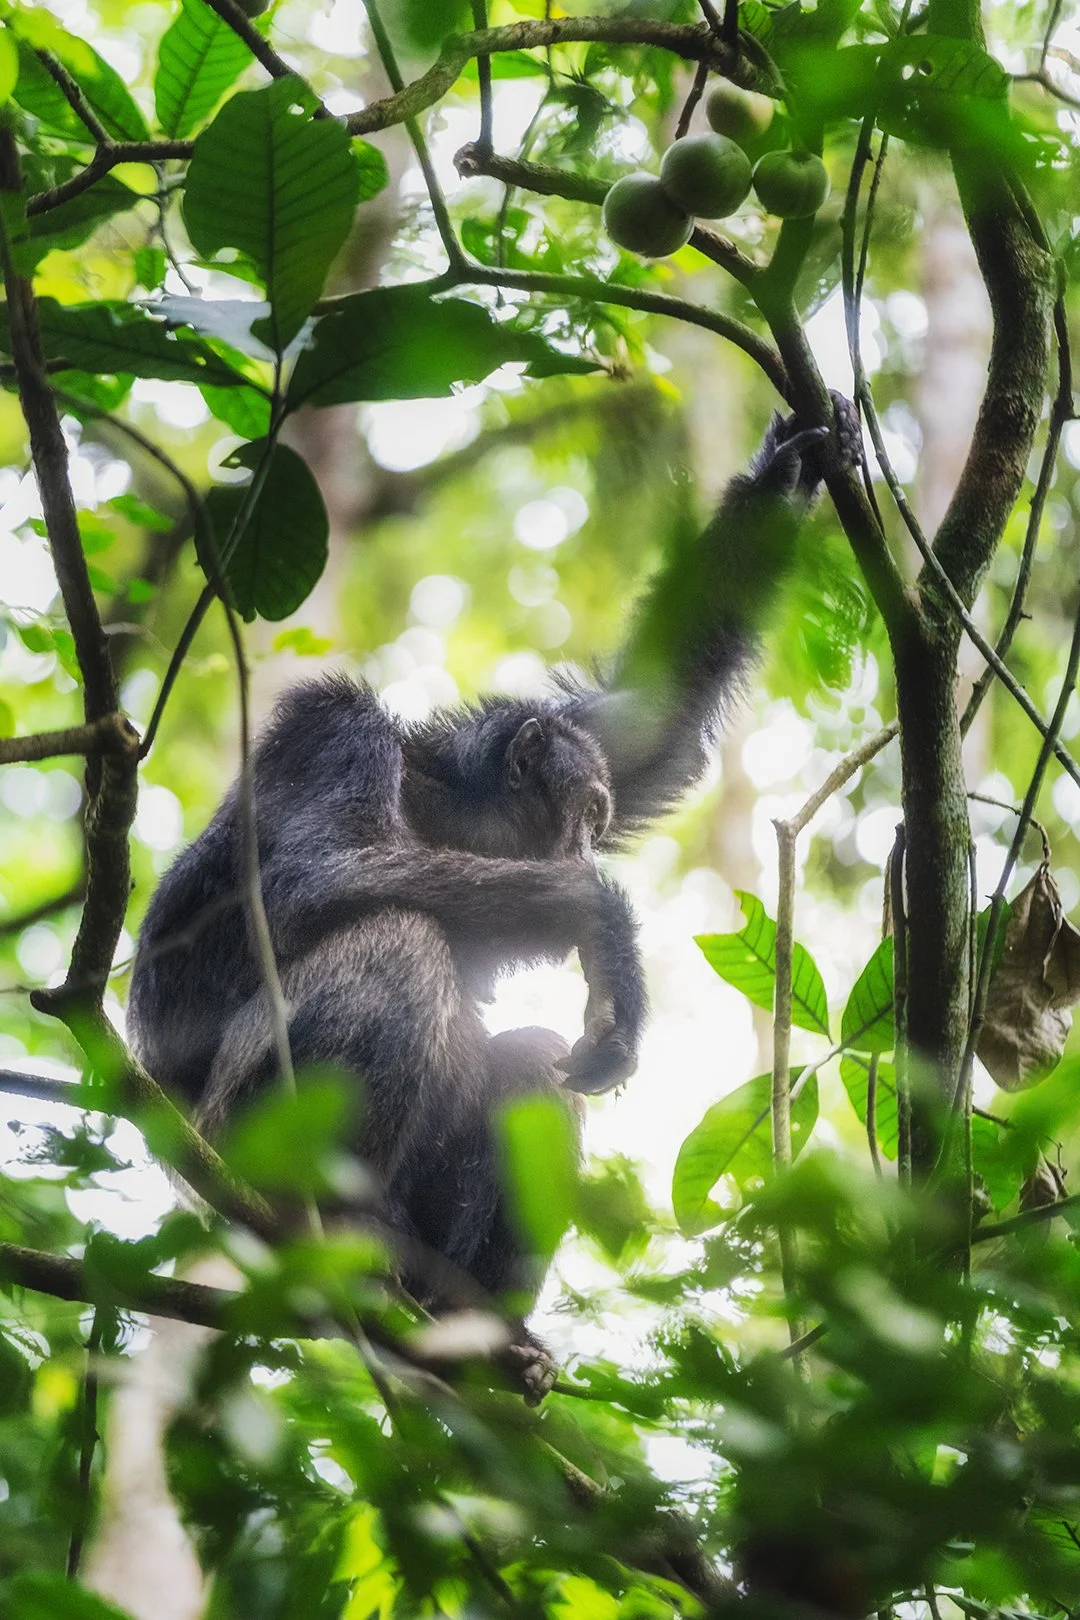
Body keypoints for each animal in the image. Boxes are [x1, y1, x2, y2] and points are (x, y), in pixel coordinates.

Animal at [127, 394, 858, 1399]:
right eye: (583, 819)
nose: (587, 844)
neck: (439, 806)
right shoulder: (331, 729)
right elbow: (315, 872)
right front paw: (605, 925)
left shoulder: (595, 737)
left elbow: (649, 718)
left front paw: (788, 468)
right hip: (232, 1138)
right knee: (397, 943)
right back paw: (334, 1226)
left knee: (533, 1063)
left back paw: (476, 1327)